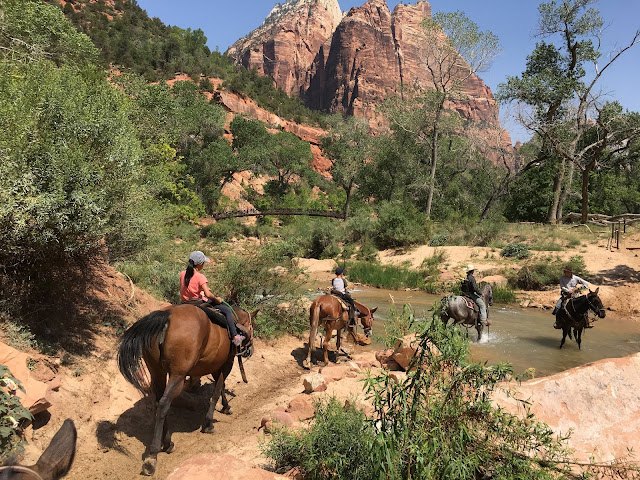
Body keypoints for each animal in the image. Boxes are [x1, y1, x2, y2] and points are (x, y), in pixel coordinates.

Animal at [116, 306, 256, 474]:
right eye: (252, 326)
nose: (250, 350)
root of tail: (167, 316)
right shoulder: (226, 364)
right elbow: (216, 391)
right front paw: (209, 423)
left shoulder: (215, 366)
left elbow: (220, 387)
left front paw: (226, 406)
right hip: (178, 375)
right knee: (164, 403)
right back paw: (152, 456)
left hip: (157, 371)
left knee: (158, 402)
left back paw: (167, 443)